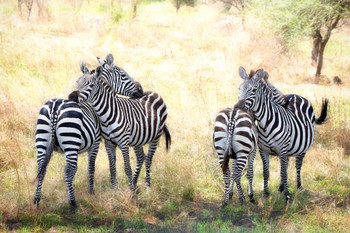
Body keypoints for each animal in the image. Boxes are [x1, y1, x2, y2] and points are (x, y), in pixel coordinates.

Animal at [32, 61, 142, 212]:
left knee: (41, 169)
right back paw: (73, 204)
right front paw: (91, 192)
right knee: (67, 171)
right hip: (70, 142)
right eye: (124, 75)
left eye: (86, 83)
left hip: (42, 141)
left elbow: (79, 169)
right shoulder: (95, 144)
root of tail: (55, 107)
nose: (140, 90)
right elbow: (90, 168)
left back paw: (37, 201)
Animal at [76, 55, 171, 193]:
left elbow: (127, 167)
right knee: (141, 157)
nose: (140, 89)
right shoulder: (109, 143)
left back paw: (147, 185)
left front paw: (131, 193)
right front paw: (114, 189)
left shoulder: (123, 142)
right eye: (123, 75)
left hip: (156, 137)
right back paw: (135, 183)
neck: (106, 115)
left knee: (148, 159)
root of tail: (153, 92)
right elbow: (112, 167)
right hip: (138, 138)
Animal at [238, 67, 328, 202]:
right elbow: (267, 172)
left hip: (302, 148)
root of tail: (297, 95)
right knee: (287, 164)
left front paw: (287, 195)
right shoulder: (263, 150)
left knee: (297, 166)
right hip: (290, 148)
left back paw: (299, 186)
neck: (265, 124)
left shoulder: (282, 150)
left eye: (253, 90)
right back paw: (281, 187)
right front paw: (266, 193)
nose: (238, 107)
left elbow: (283, 172)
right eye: (239, 89)